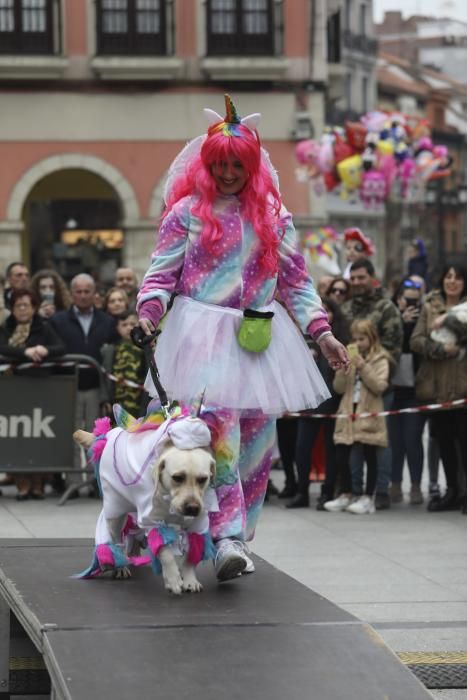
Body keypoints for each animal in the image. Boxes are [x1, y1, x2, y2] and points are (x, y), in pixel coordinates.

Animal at [74, 416, 216, 596]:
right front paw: (173, 578)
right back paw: (120, 566)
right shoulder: (151, 520)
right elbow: (165, 552)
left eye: (203, 479)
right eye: (177, 477)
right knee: (117, 540)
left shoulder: (198, 524)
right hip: (116, 511)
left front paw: (190, 579)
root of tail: (107, 435)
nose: (192, 507)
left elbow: (192, 554)